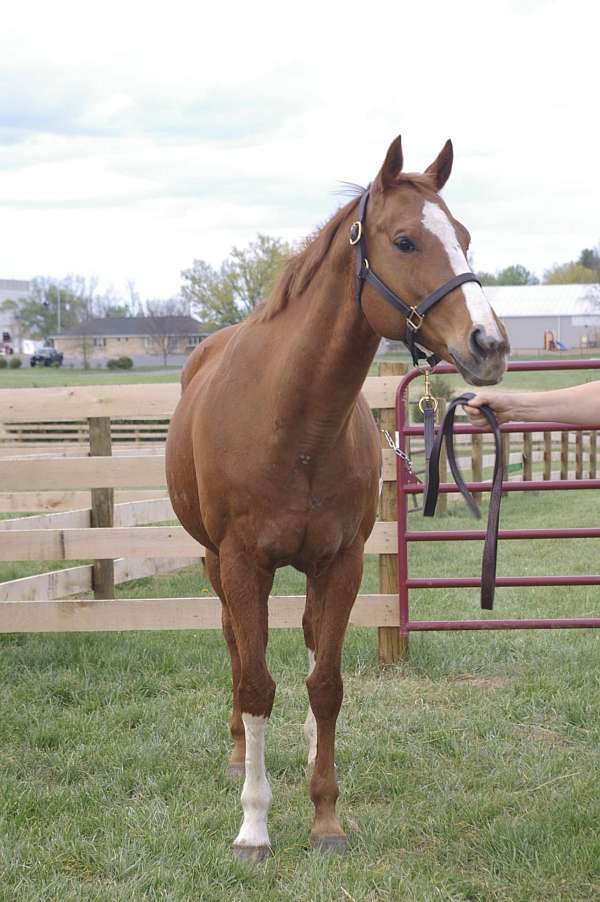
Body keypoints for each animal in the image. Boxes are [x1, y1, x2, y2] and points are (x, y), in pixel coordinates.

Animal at [165, 135, 509, 862]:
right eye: (405, 240)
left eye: (464, 236)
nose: (489, 344)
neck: (293, 422)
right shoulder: (242, 564)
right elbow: (255, 683)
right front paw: (254, 826)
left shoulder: (342, 563)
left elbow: (325, 684)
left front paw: (324, 817)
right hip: (214, 564)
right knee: (235, 647)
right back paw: (238, 754)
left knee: (302, 642)